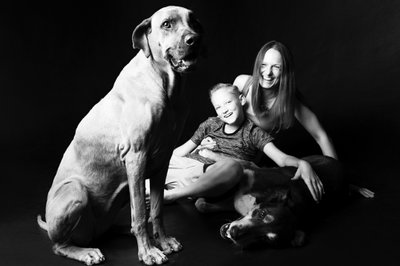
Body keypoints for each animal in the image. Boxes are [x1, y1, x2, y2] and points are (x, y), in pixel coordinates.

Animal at [37, 5, 203, 264]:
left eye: (193, 21)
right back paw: (85, 251)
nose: (194, 39)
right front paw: (148, 252)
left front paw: (163, 241)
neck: (165, 85)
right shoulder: (136, 158)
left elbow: (156, 209)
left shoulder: (162, 161)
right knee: (59, 245)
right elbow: (140, 212)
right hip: (75, 192)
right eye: (167, 24)